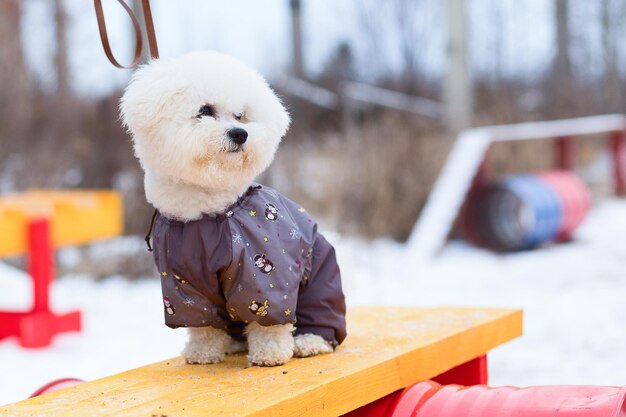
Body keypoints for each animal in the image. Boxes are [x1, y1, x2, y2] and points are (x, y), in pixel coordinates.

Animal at [120, 51, 346, 364]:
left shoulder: (266, 275)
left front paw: (270, 354)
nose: (240, 133)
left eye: (241, 116)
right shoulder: (181, 286)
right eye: (204, 110)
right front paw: (203, 353)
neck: (205, 216)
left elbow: (269, 319)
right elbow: (201, 322)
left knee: (321, 321)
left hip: (320, 283)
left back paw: (309, 341)